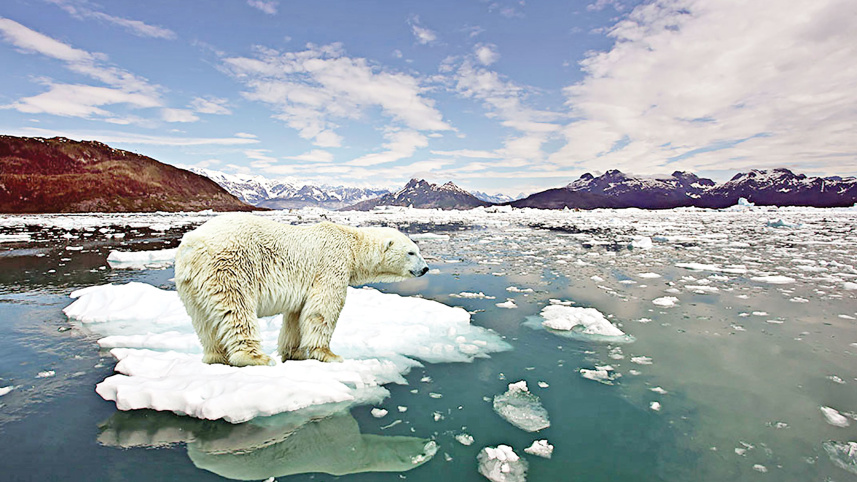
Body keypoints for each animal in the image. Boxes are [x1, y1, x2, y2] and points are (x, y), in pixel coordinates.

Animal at [174, 213, 429, 367]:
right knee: (237, 310)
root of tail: (192, 246)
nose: (425, 268)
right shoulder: (331, 264)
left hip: (191, 285)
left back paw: (215, 357)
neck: (352, 245)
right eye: (411, 252)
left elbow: (297, 315)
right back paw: (256, 357)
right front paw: (329, 354)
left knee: (204, 321)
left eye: (417, 250)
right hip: (229, 267)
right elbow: (323, 308)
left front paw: (293, 352)